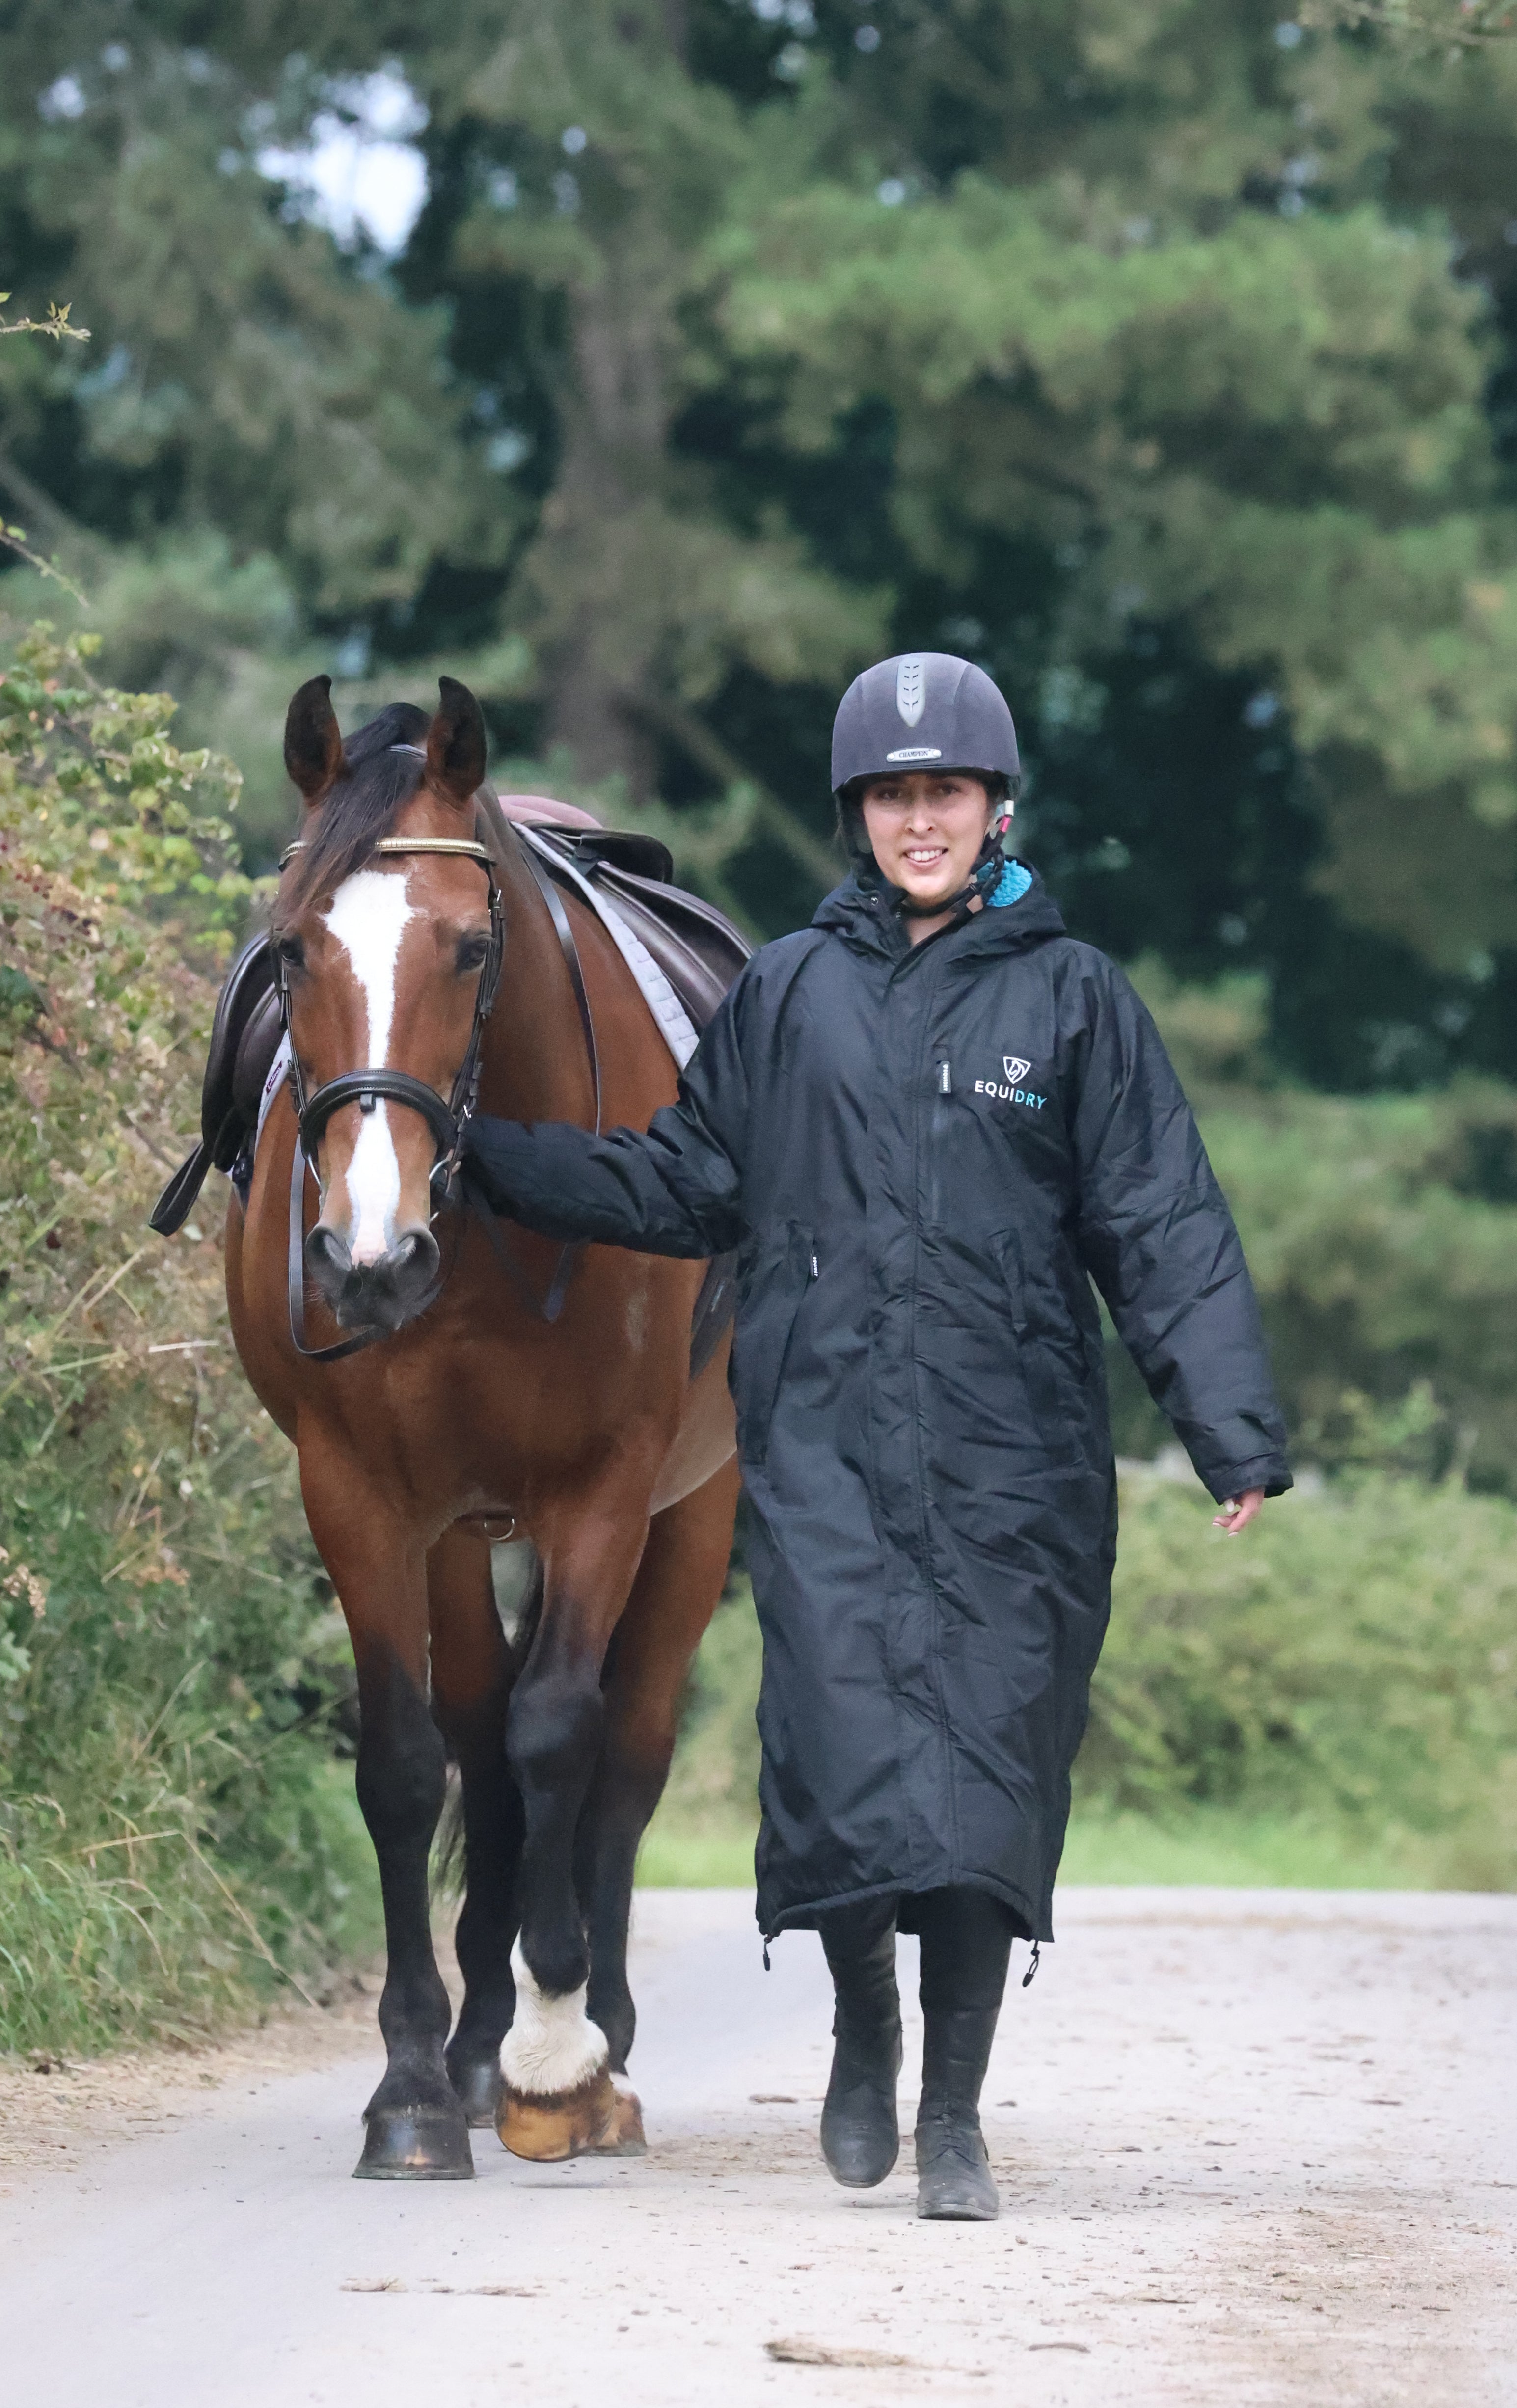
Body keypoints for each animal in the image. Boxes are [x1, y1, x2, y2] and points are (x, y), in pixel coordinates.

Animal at [223, 673, 740, 2178]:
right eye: (292, 950)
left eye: (467, 948)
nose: (368, 1255)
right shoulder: (361, 1494)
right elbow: (410, 1765)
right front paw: (410, 2080)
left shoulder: (607, 1492)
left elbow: (562, 1731)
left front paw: (563, 2057)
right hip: (458, 1526)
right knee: (478, 1736)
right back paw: (468, 2051)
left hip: (700, 1509)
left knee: (621, 1755)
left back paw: (596, 2035)